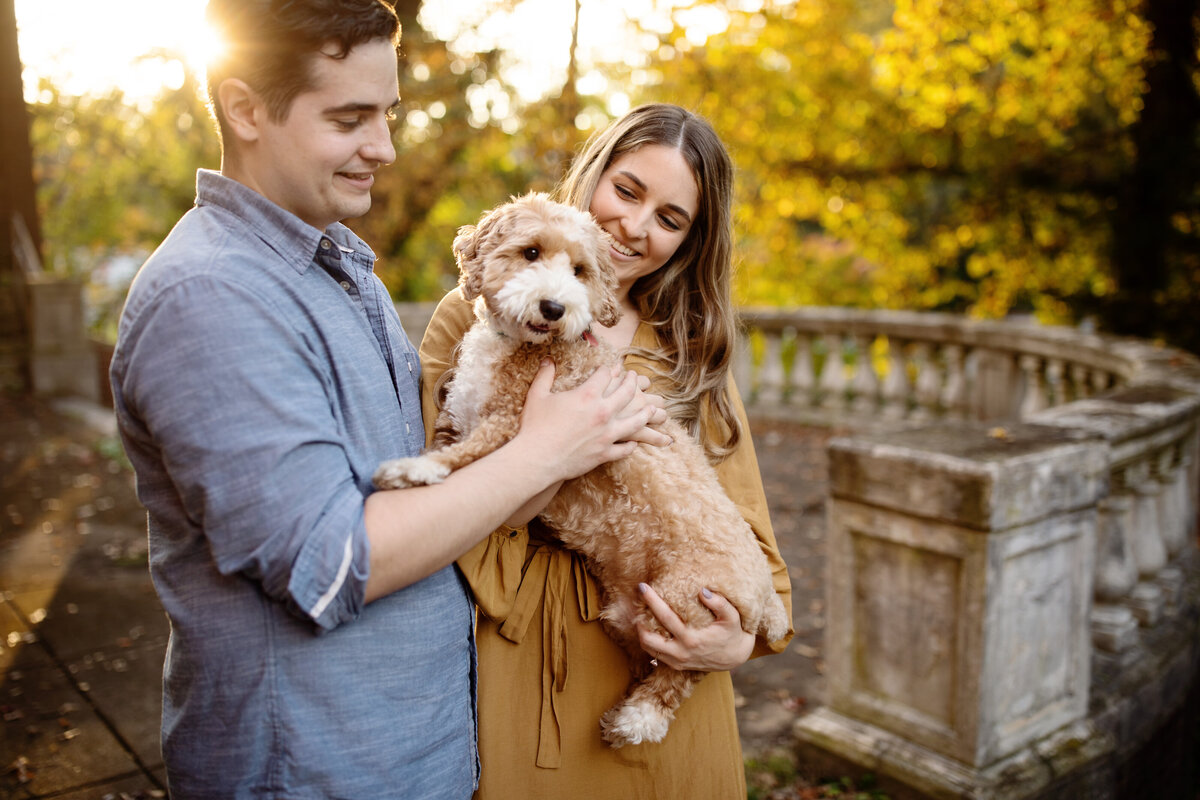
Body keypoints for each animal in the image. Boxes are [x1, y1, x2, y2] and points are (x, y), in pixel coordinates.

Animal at [374, 191, 787, 743]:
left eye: (579, 270)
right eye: (530, 252)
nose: (554, 307)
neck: (525, 346)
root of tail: (766, 595)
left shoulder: (508, 430)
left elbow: (461, 459)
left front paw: (413, 473)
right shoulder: (457, 418)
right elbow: (447, 445)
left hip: (681, 607)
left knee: (685, 673)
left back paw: (639, 719)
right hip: (628, 614)